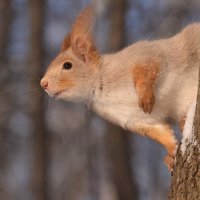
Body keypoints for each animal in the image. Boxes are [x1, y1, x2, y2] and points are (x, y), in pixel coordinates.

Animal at [40, 5, 198, 170]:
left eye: (67, 65)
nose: (43, 84)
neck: (99, 88)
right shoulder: (134, 119)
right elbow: (160, 133)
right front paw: (171, 151)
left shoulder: (143, 56)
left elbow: (149, 68)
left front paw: (145, 97)